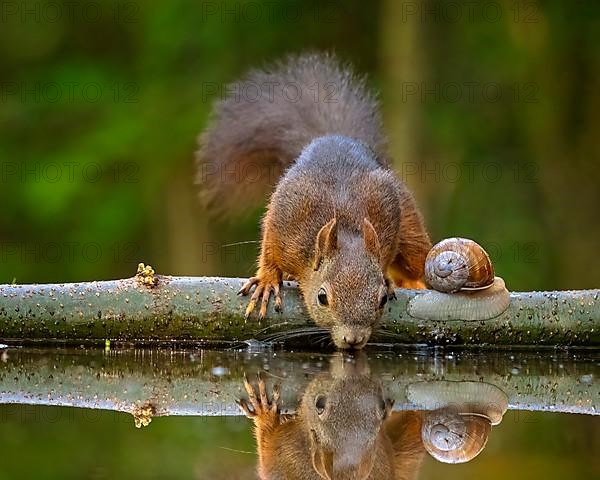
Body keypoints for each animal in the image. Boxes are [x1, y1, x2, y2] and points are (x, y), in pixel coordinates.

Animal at [197, 53, 432, 348]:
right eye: (322, 297)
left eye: (380, 301)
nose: (353, 339)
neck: (346, 226)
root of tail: (336, 137)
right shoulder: (285, 222)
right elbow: (269, 251)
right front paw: (266, 281)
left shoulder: (386, 212)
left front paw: (389, 280)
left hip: (409, 225)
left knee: (416, 256)